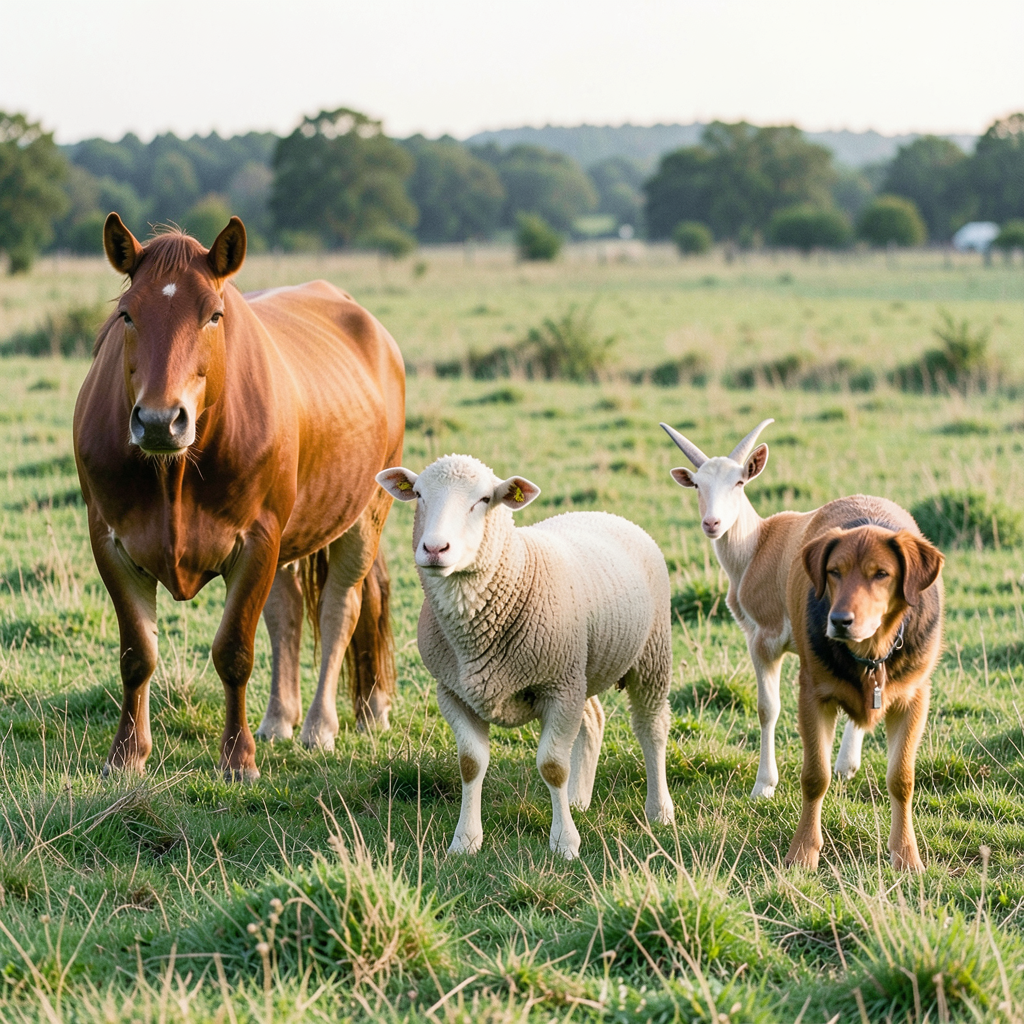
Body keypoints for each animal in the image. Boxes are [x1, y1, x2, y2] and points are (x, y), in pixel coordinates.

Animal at [73, 214, 405, 780]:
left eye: (214, 315)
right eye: (126, 314)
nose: (159, 419)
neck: (173, 476)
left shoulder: (258, 538)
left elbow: (234, 651)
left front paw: (237, 758)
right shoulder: (109, 539)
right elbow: (137, 654)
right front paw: (126, 755)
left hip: (365, 514)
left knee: (342, 608)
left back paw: (322, 724)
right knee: (286, 612)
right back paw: (280, 719)